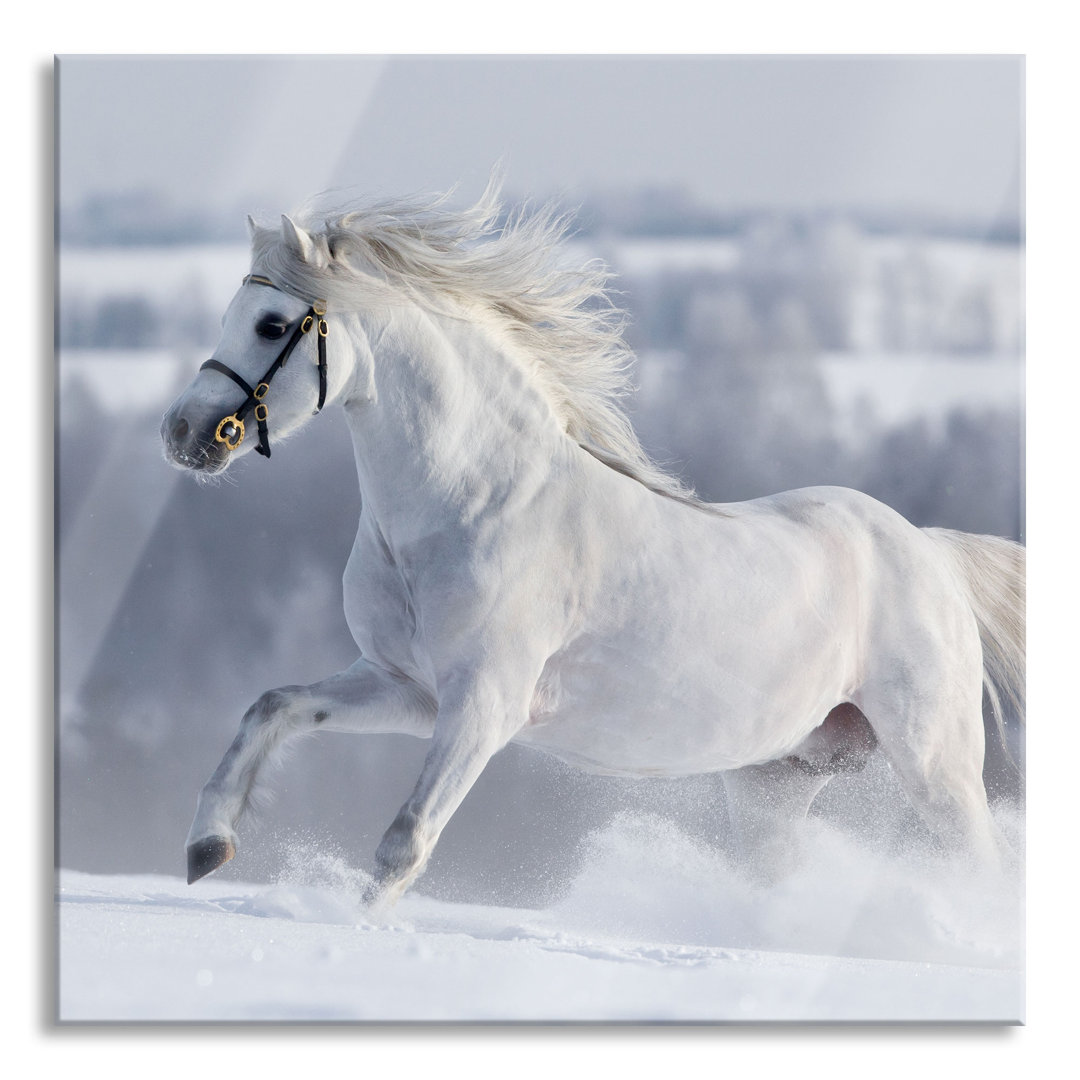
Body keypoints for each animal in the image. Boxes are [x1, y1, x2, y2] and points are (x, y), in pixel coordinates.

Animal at [159, 185, 1019, 902]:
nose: (185, 433)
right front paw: (206, 848)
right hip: (775, 779)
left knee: (979, 868)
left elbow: (404, 844)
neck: (473, 506)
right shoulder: (405, 687)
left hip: (935, 767)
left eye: (273, 325)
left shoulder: (485, 705)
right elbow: (271, 707)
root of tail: (930, 554)